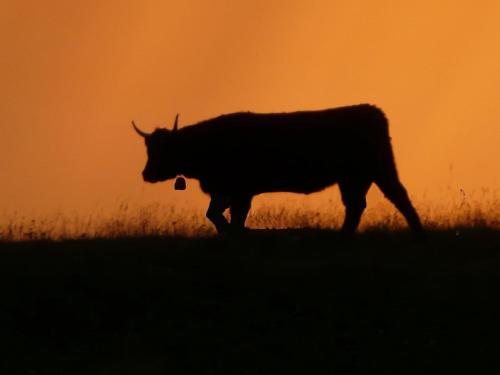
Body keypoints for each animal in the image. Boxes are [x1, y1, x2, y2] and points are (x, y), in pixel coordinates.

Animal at [133, 104, 426, 239]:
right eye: (149, 148)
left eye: (163, 149)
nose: (146, 174)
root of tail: (370, 109)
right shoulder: (223, 190)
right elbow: (213, 213)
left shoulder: (241, 190)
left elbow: (235, 216)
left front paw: (237, 234)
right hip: (354, 177)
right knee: (356, 206)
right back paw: (343, 237)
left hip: (380, 169)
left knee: (398, 196)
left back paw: (418, 234)